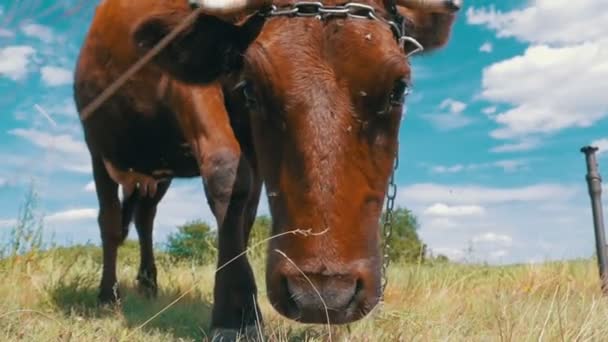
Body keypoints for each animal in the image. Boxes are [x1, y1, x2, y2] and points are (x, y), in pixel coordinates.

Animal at [72, 0, 460, 338]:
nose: (323, 296)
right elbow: (226, 173)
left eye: (398, 89)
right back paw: (108, 296)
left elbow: (242, 213)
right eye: (251, 88)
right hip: (98, 146)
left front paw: (242, 308)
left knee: (145, 217)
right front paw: (233, 316)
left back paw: (149, 285)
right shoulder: (193, 91)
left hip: (156, 174)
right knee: (110, 222)